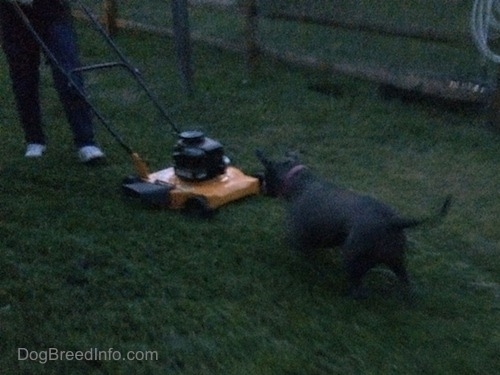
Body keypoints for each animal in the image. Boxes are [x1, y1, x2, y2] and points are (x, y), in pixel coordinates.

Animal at [256, 151, 452, 300]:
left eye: (266, 171)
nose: (259, 180)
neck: (299, 182)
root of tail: (392, 222)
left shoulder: (298, 237)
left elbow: (299, 253)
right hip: (397, 260)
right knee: (406, 282)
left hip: (353, 258)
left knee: (359, 289)